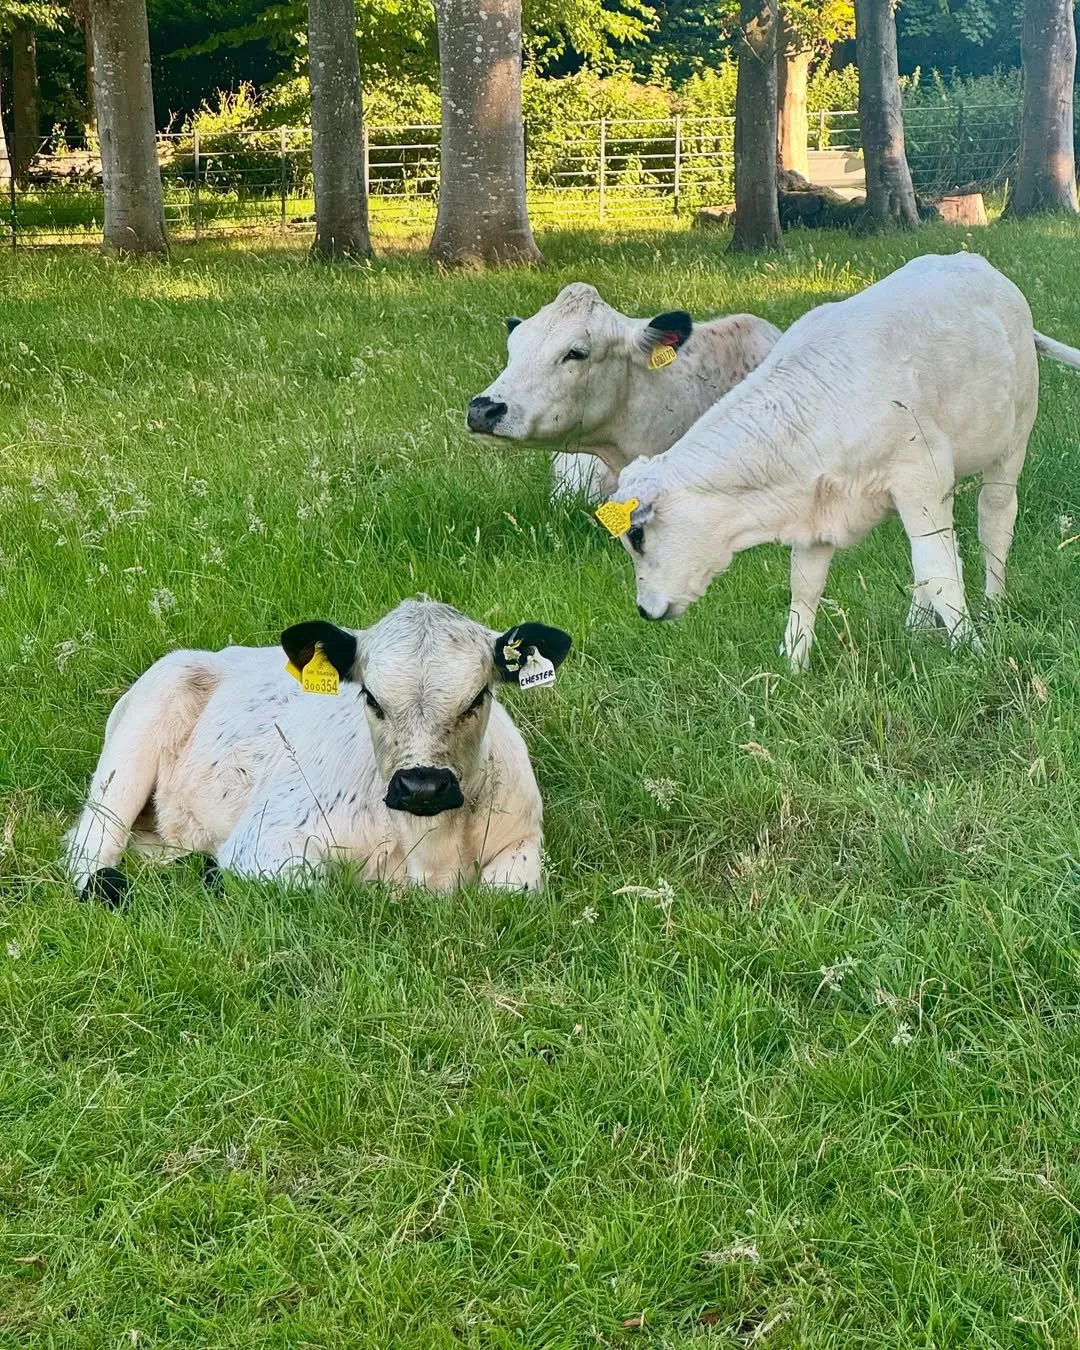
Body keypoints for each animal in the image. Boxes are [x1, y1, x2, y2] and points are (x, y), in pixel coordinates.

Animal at [64, 599, 573, 903]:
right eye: (371, 697)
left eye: (477, 697)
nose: (421, 786)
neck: (429, 852)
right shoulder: (263, 841)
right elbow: (320, 883)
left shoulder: (523, 840)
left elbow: (509, 889)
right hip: (129, 754)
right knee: (90, 849)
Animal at [594, 252, 1080, 670]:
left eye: (636, 535)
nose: (645, 611)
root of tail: (978, 265)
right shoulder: (819, 512)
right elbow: (806, 586)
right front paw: (792, 665)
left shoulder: (919, 477)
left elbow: (942, 570)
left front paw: (972, 649)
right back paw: (917, 623)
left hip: (1011, 441)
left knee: (993, 522)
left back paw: (993, 604)